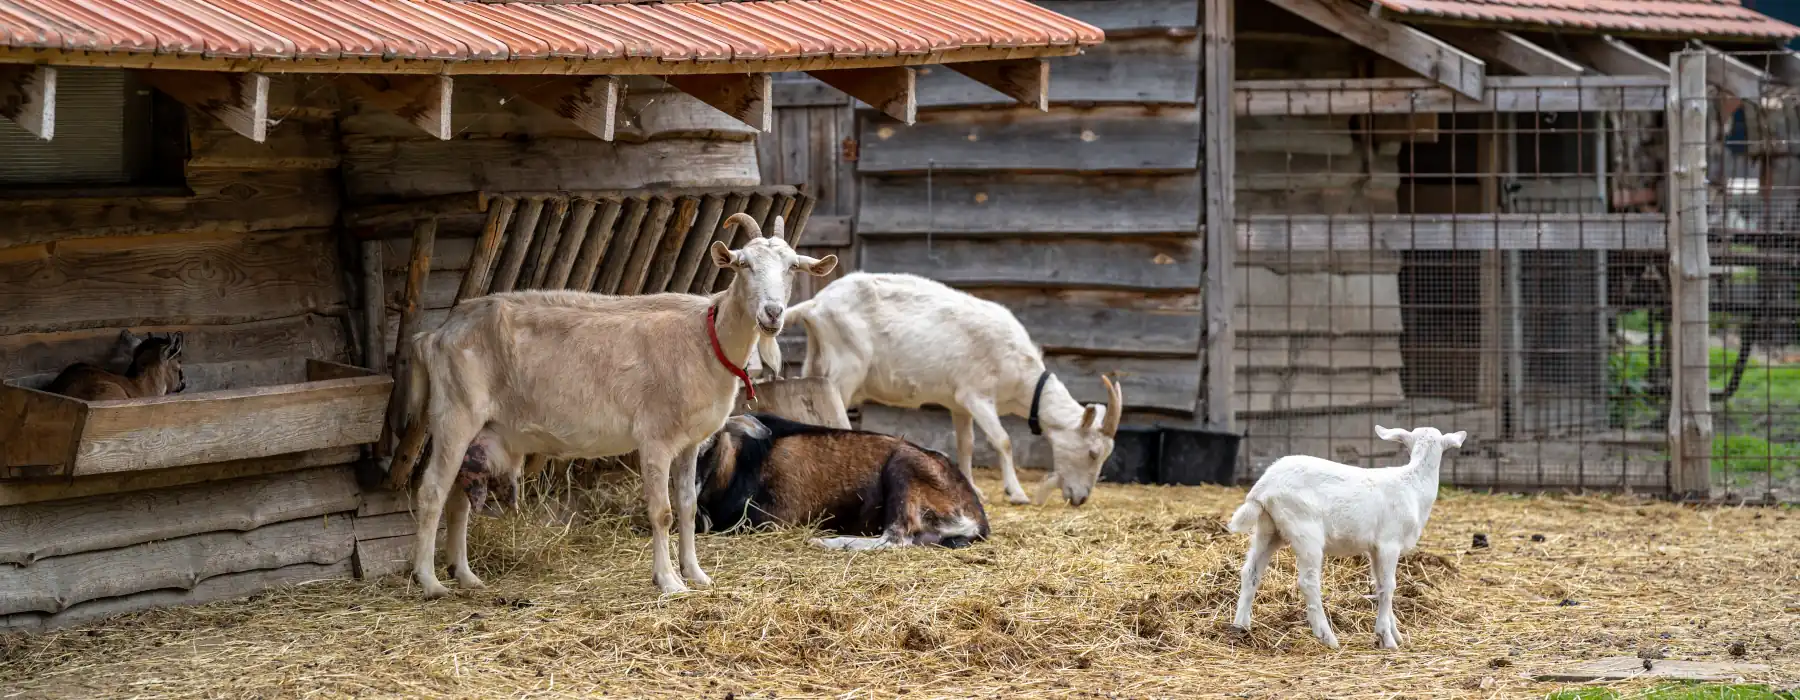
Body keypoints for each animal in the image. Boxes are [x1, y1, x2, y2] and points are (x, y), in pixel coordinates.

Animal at [396, 214, 836, 598]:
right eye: (744, 264)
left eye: (792, 267)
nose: (772, 313)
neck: (705, 338)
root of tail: (436, 334)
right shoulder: (655, 438)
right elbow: (661, 511)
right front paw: (669, 582)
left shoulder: (691, 442)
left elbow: (688, 506)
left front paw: (696, 574)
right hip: (455, 413)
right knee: (432, 491)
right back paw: (430, 583)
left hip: (478, 429)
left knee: (457, 497)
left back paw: (466, 576)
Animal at [695, 413, 989, 550]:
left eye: (711, 442)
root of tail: (977, 518)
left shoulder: (769, 520)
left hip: (903, 467)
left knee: (896, 538)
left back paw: (825, 542)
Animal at [756, 272, 1121, 507]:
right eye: (1092, 452)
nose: (1080, 498)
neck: (1021, 373)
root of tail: (815, 305)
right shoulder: (977, 395)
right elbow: (1002, 440)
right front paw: (1016, 493)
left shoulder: (959, 403)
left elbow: (967, 444)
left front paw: (974, 487)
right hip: (847, 366)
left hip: (817, 359)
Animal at [1226, 425, 1467, 650]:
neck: (1414, 486)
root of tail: (1262, 487)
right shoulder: (1389, 543)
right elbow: (1389, 586)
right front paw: (1387, 638)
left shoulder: (1375, 549)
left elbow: (1379, 585)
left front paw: (1394, 633)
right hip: (1304, 529)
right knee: (1308, 582)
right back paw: (1327, 637)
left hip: (1269, 529)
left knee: (1251, 572)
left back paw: (1241, 626)